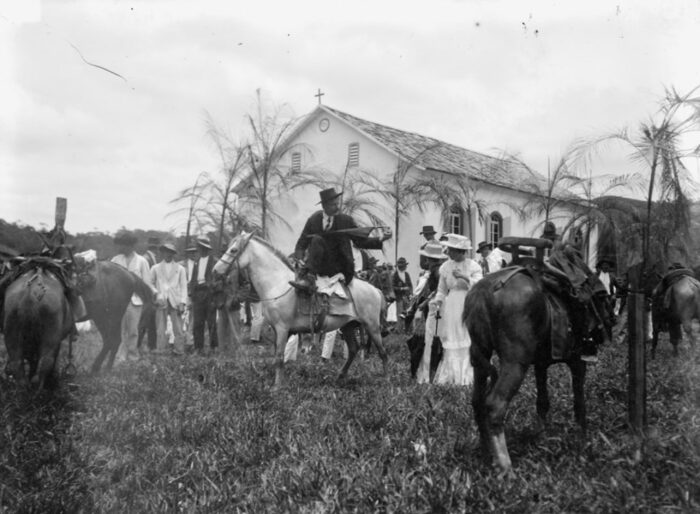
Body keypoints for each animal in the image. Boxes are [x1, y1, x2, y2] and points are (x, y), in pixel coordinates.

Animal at [213, 231, 388, 384]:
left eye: (233, 250)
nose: (215, 270)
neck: (277, 284)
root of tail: (375, 290)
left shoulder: (282, 328)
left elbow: (279, 358)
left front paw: (277, 387)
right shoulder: (277, 330)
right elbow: (279, 357)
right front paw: (280, 382)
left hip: (372, 326)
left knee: (382, 353)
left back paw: (386, 380)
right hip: (348, 326)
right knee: (353, 349)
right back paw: (340, 376)